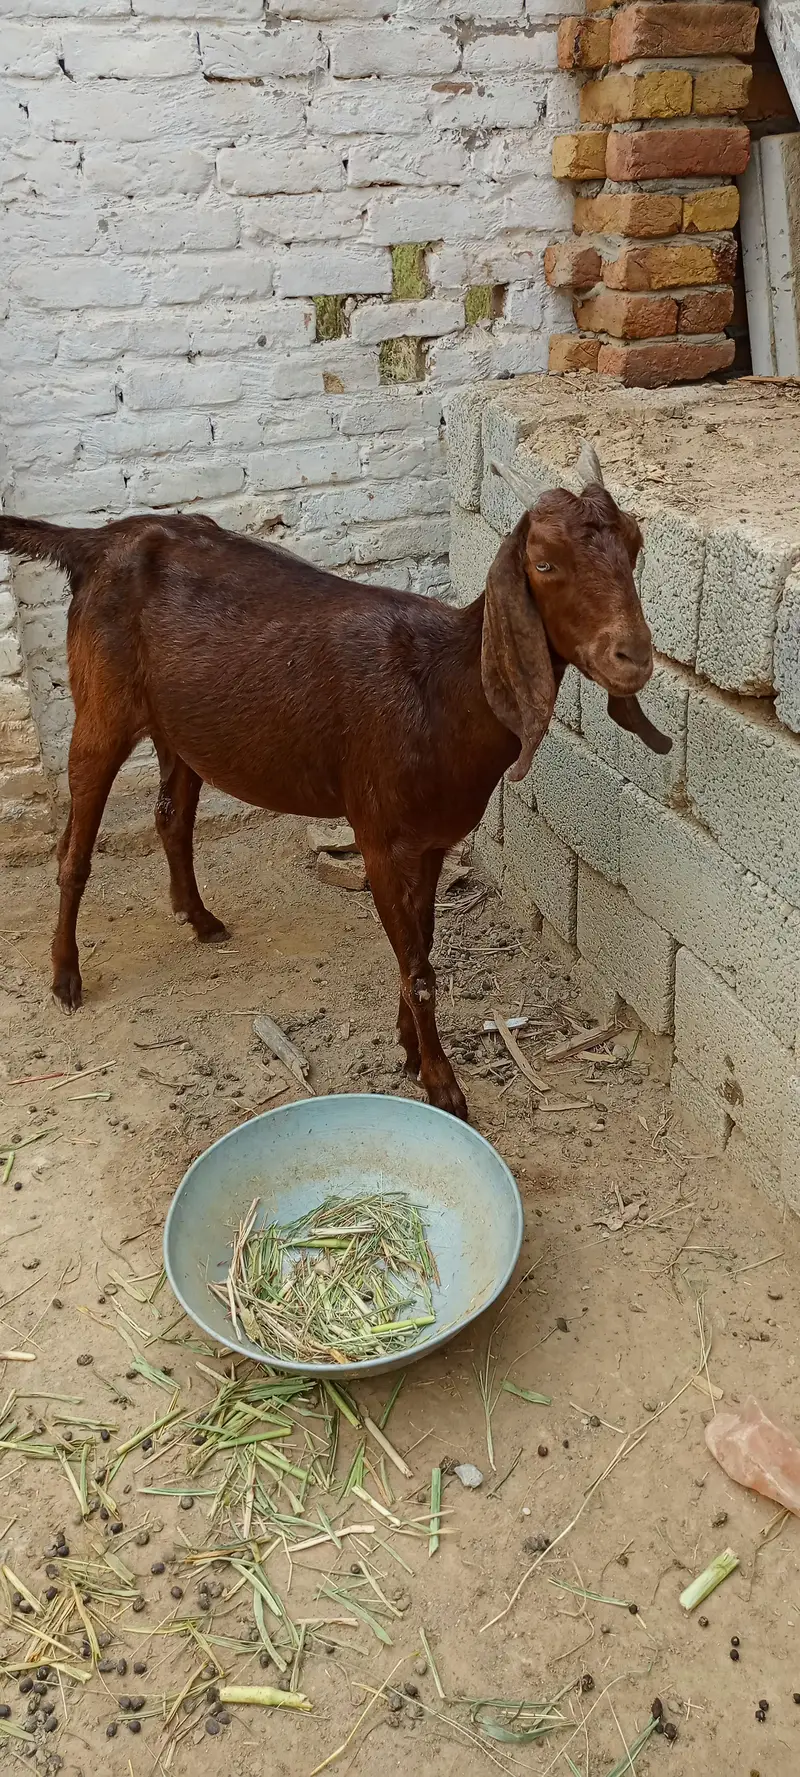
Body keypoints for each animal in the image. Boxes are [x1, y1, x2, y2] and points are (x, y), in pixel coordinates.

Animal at [0, 443, 670, 1121]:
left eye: (636, 544)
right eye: (544, 563)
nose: (634, 655)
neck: (439, 690)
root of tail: (96, 541)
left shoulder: (433, 840)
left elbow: (423, 941)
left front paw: (409, 1048)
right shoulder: (378, 836)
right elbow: (419, 968)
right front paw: (442, 1084)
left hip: (177, 725)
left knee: (171, 815)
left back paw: (200, 917)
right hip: (102, 707)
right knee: (74, 847)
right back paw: (65, 977)